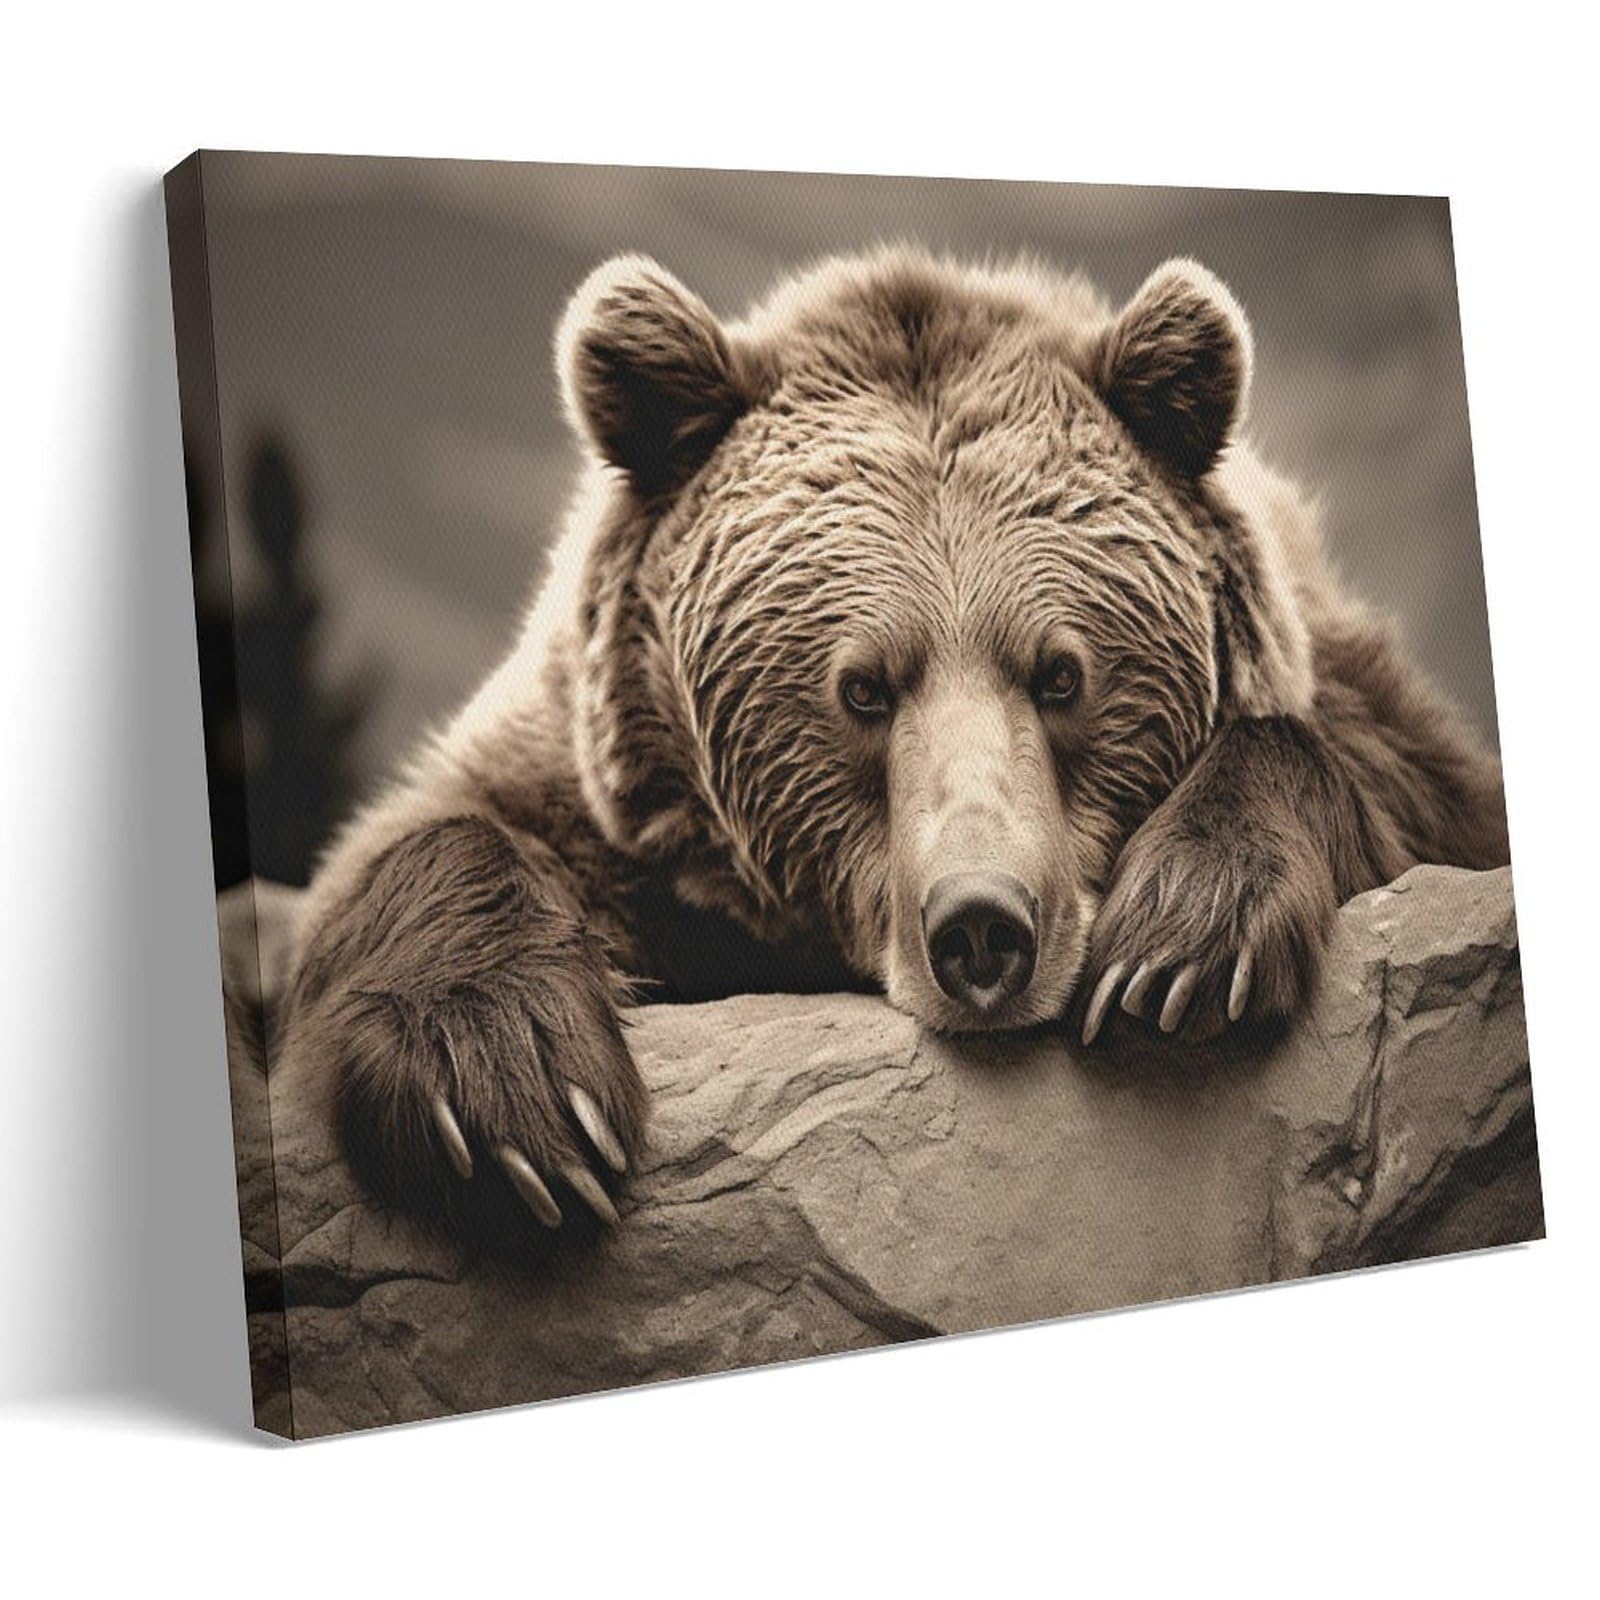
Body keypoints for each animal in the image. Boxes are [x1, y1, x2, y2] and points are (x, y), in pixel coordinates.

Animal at [282, 246, 1509, 1233]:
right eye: (862, 688)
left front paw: (1182, 939)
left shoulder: (1356, 695)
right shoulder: (605, 796)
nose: (983, 926)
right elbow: (418, 845)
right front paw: (513, 1095)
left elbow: (1391, 785)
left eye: (1061, 673)